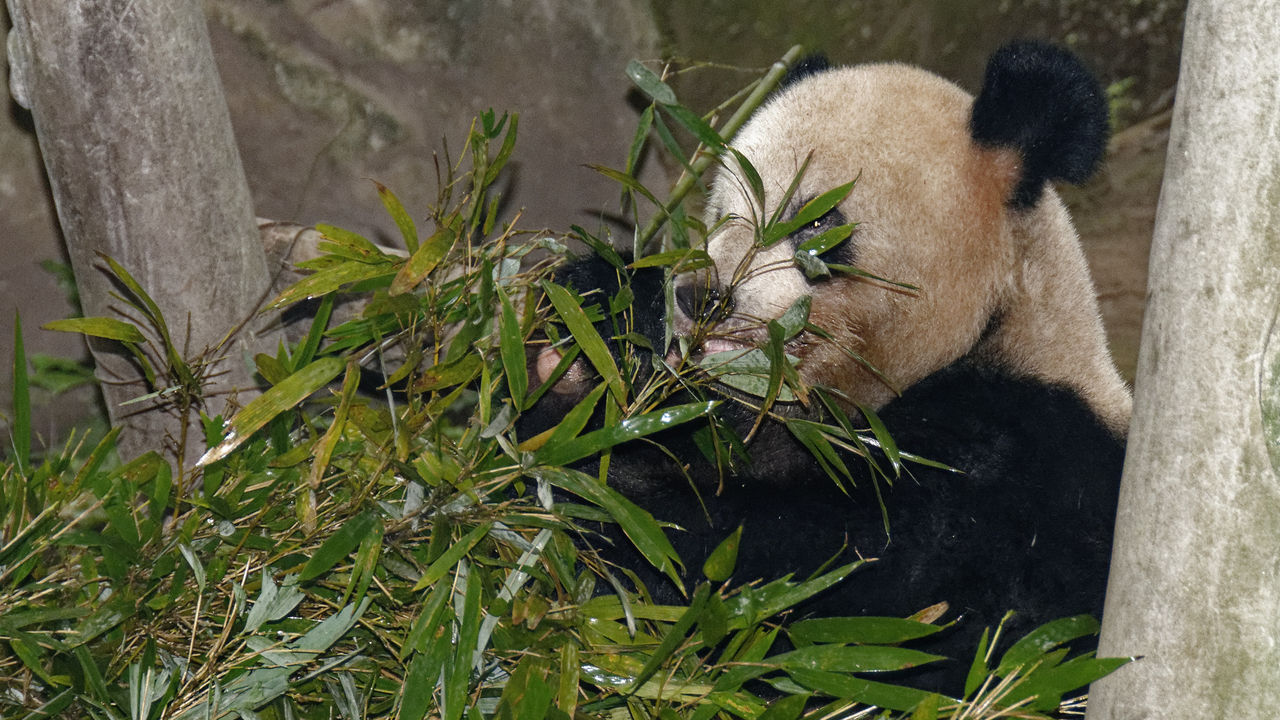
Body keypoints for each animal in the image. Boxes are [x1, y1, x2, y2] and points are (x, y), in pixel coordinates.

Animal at [530, 40, 1129, 695]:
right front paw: (597, 320)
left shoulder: (1018, 472)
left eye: (816, 222)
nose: (701, 298)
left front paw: (602, 464)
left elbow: (827, 583)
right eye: (724, 213)